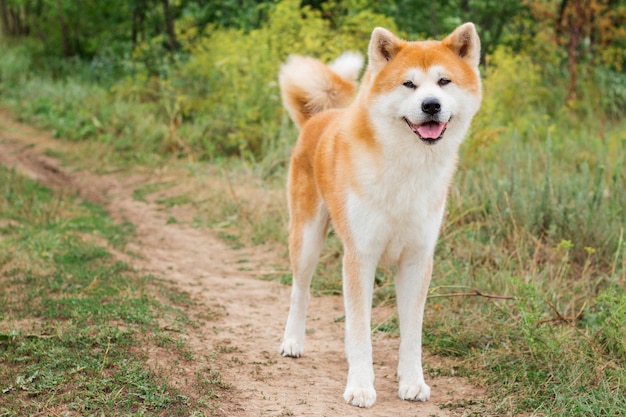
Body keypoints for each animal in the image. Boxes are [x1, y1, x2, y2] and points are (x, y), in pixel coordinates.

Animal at [276, 22, 478, 406]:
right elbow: (360, 329)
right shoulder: (361, 255)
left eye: (444, 82)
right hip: (306, 239)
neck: (408, 168)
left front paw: (412, 381)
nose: (431, 105)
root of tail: (319, 117)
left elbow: (411, 334)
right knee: (300, 291)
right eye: (408, 84)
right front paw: (360, 385)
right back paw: (292, 341)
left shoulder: (417, 260)